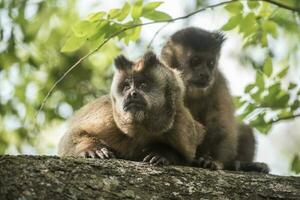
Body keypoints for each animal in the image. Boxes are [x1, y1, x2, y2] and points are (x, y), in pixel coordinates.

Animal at [57, 51, 205, 166]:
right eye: (127, 86)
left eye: (142, 85)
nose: (131, 94)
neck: (141, 130)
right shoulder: (108, 116)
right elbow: (70, 137)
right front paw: (93, 148)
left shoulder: (181, 123)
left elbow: (188, 157)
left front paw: (163, 153)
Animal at [162, 27, 270, 173]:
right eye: (195, 61)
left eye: (210, 63)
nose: (205, 74)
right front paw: (165, 155)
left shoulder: (218, 82)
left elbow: (221, 126)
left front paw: (213, 161)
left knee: (244, 129)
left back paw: (241, 165)